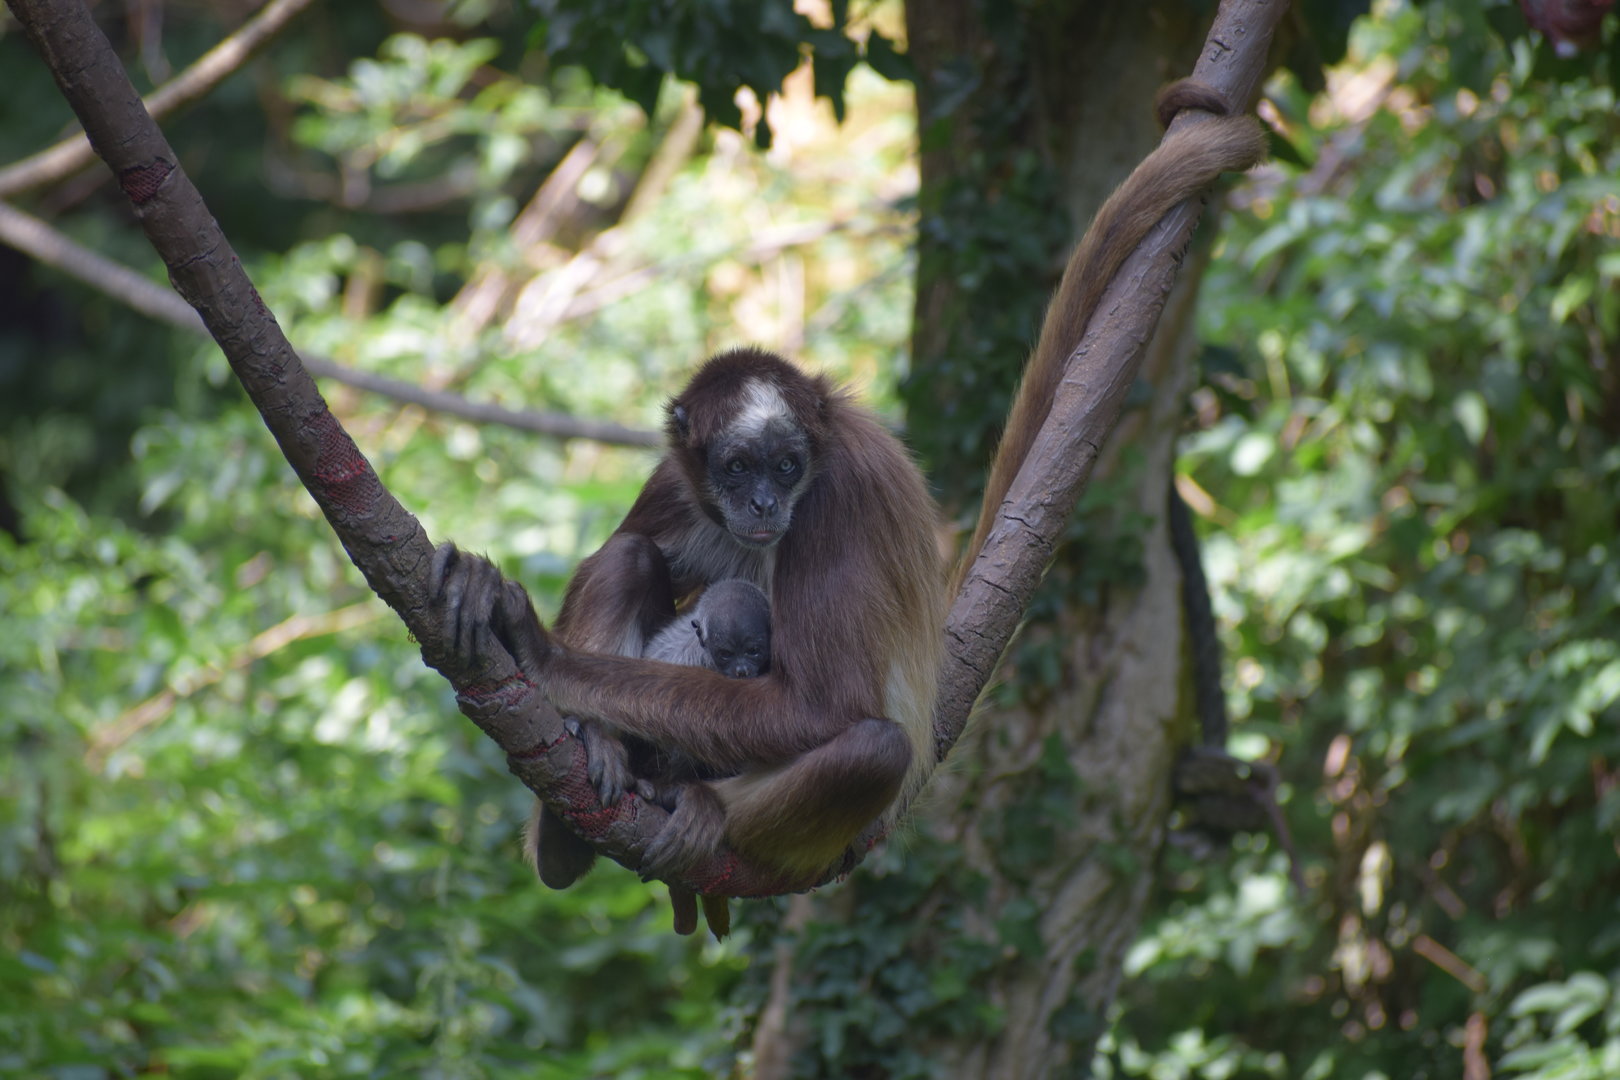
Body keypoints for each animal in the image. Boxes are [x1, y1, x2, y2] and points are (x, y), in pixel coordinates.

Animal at [429, 79, 1266, 902]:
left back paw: (697, 804)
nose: (764, 505)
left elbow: (823, 711)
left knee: (876, 746)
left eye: (787, 467)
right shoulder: (677, 476)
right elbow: (636, 547)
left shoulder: (837, 499)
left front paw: (544, 656)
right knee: (632, 555)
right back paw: (574, 816)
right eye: (738, 467)